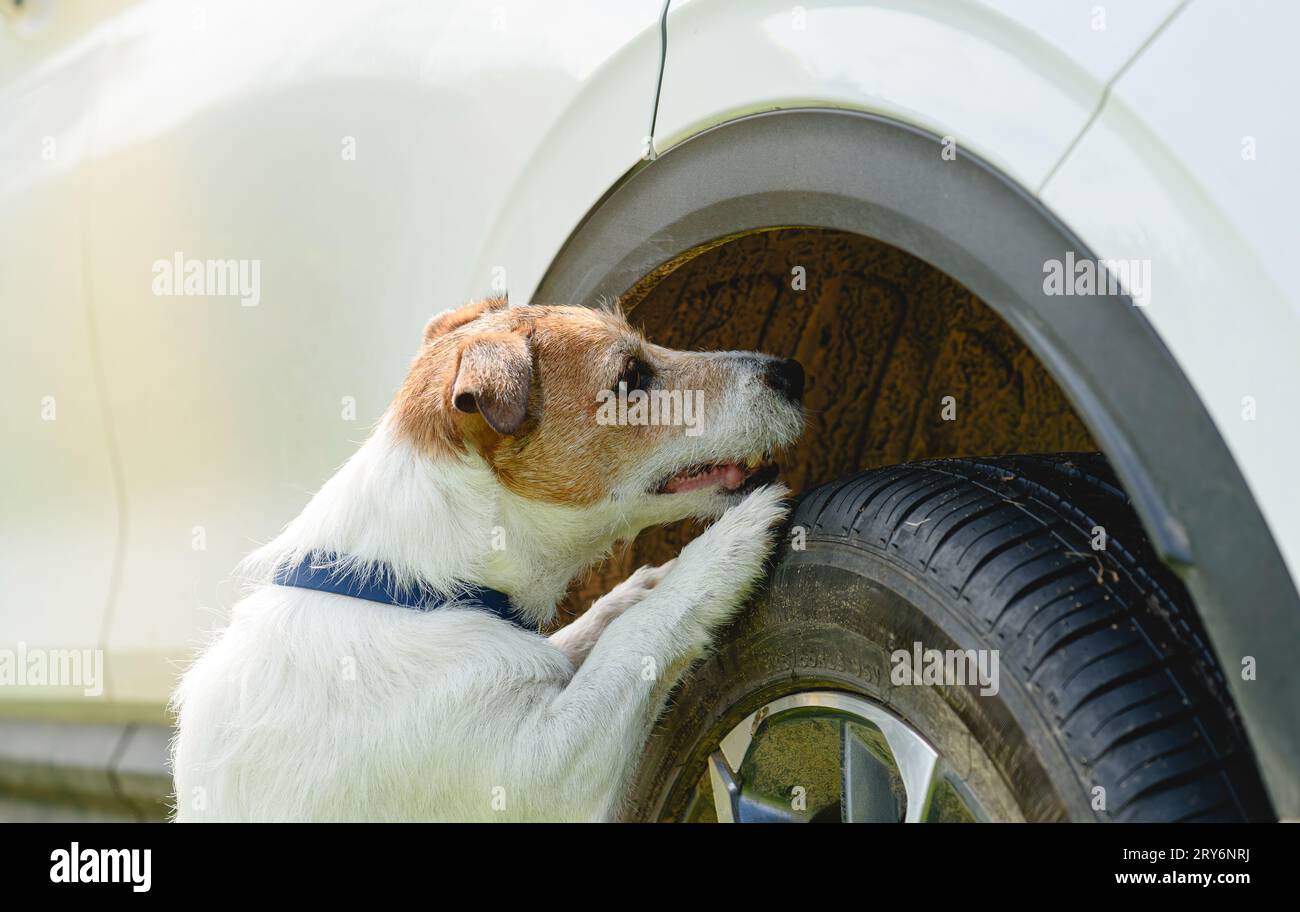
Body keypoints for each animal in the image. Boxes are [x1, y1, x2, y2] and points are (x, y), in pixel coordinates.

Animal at [172, 298, 800, 821]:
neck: (420, 592)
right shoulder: (548, 769)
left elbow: (588, 634)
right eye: (632, 378)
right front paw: (722, 550)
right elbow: (635, 637)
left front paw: (634, 588)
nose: (791, 372)